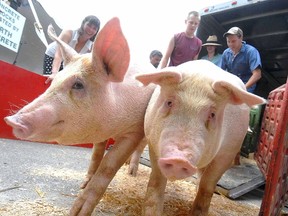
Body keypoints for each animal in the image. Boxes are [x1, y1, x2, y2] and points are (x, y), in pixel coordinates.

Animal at [3, 17, 155, 215]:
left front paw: (77, 211)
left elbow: (108, 165)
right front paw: (84, 184)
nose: (11, 120)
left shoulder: (134, 130)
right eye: (54, 80)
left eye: (78, 84)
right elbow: (96, 155)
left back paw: (131, 173)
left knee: (139, 149)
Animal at [135, 59, 266, 216]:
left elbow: (207, 185)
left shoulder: (227, 153)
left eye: (212, 114)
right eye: (169, 102)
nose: (179, 159)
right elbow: (157, 180)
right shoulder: (153, 143)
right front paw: (151, 212)